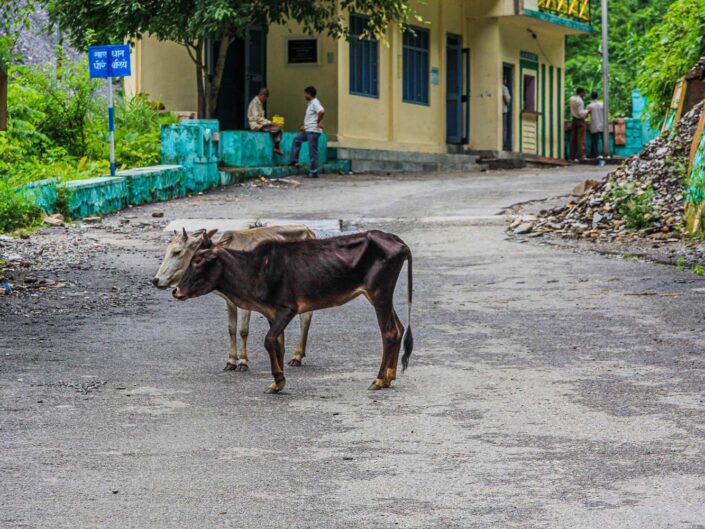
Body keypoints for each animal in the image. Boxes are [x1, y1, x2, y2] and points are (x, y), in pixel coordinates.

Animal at [157, 225, 316, 370]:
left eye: (177, 252)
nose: (155, 280)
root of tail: (308, 230)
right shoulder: (230, 301)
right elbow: (231, 329)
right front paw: (231, 361)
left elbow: (243, 330)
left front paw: (243, 361)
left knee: (305, 319)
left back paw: (297, 356)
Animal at [175, 227, 412, 392]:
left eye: (198, 260)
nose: (176, 291)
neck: (254, 270)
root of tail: (399, 242)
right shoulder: (271, 313)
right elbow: (278, 344)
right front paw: (276, 383)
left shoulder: (287, 309)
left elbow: (269, 340)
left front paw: (279, 381)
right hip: (380, 296)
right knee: (399, 328)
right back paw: (389, 377)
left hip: (379, 293)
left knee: (389, 332)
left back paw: (379, 379)